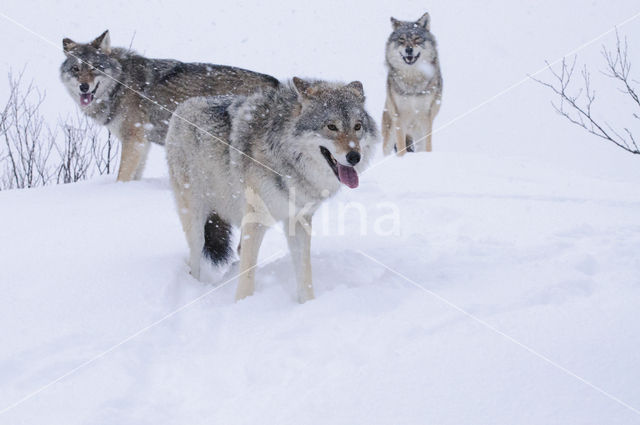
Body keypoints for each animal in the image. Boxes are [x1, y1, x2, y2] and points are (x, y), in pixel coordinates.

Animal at [60, 29, 278, 182]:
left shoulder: (133, 140)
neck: (120, 83)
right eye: (76, 69)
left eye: (94, 68)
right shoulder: (142, 143)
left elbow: (121, 176)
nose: (83, 87)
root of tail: (276, 83)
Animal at [165, 76, 380, 302]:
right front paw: (242, 304)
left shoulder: (299, 220)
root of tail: (182, 106)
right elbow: (247, 275)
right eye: (331, 126)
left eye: (357, 126)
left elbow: (304, 273)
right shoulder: (256, 220)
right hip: (196, 218)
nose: (355, 157)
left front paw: (308, 304)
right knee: (195, 256)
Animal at [382, 12, 442, 156]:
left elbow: (428, 146)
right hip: (390, 132)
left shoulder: (426, 116)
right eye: (401, 40)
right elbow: (401, 147)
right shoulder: (399, 117)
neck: (412, 80)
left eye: (417, 39)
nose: (408, 49)